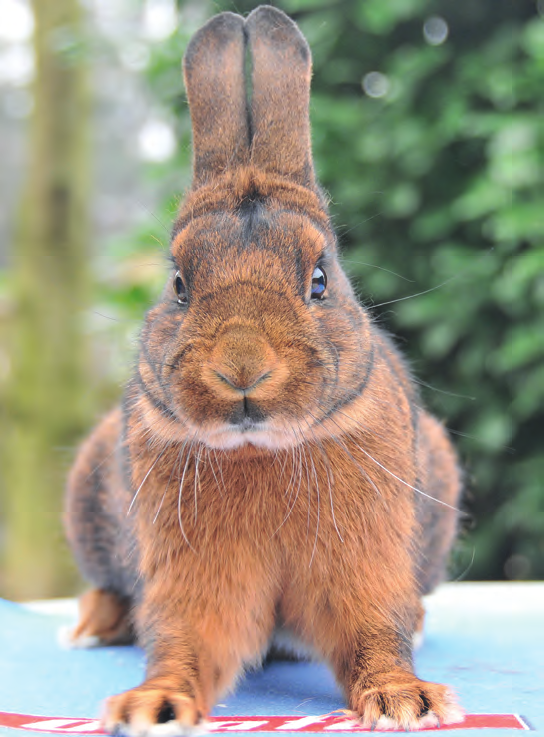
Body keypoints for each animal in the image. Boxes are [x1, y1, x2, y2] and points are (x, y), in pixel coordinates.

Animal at [63, 4, 464, 732]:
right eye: (178, 284)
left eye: (319, 279)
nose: (242, 368)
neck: (262, 449)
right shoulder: (189, 577)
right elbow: (186, 638)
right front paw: (153, 704)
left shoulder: (367, 566)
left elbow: (375, 631)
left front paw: (405, 699)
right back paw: (89, 625)